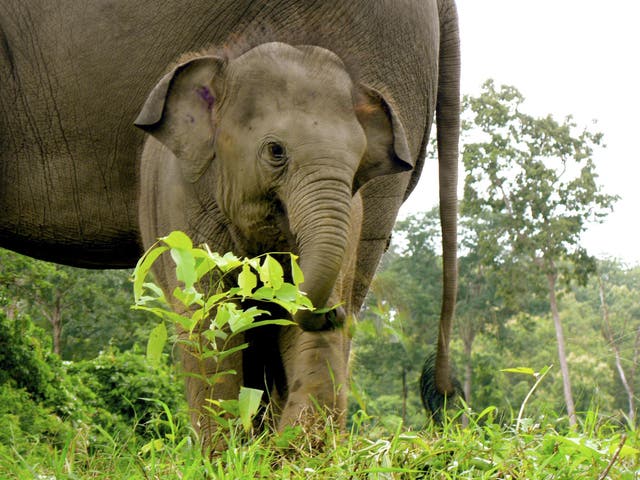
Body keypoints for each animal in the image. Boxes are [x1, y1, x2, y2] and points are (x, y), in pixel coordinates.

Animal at [0, 0, 460, 450]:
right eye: (275, 151)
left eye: (357, 168)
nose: (332, 312)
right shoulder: (181, 198)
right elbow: (206, 315)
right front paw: (227, 454)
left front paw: (288, 453)